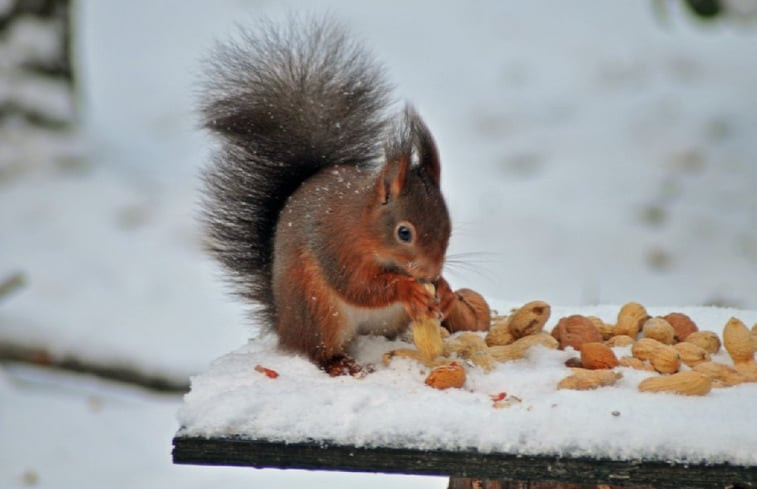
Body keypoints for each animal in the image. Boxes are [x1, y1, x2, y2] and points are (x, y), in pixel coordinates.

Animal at [201, 17, 482, 372]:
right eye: (404, 233)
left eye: (448, 227)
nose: (430, 274)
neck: (363, 225)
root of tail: (284, 327)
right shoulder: (338, 246)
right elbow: (359, 286)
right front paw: (409, 289)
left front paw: (443, 290)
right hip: (318, 311)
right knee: (315, 351)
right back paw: (339, 364)